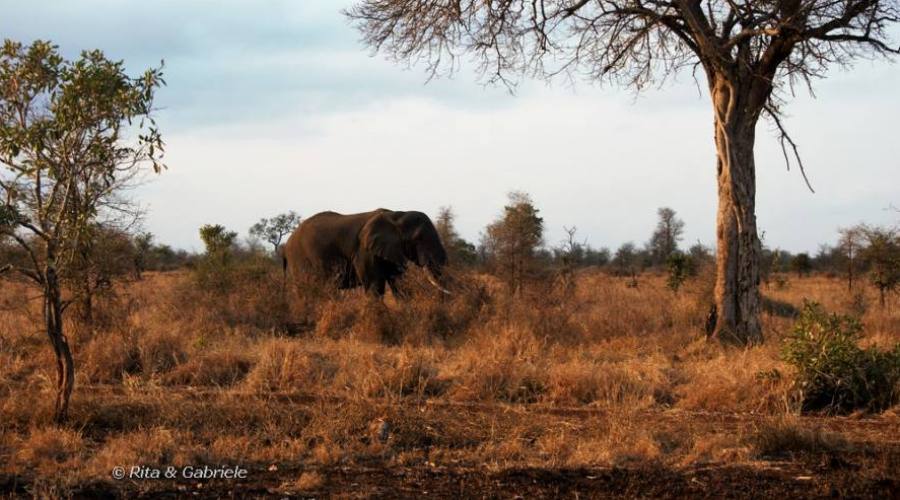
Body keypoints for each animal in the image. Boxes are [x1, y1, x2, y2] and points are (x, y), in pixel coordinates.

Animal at [284, 208, 448, 296]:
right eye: (418, 238)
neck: (397, 214)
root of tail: (286, 247)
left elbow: (399, 283)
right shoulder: (364, 251)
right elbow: (375, 287)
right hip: (300, 259)